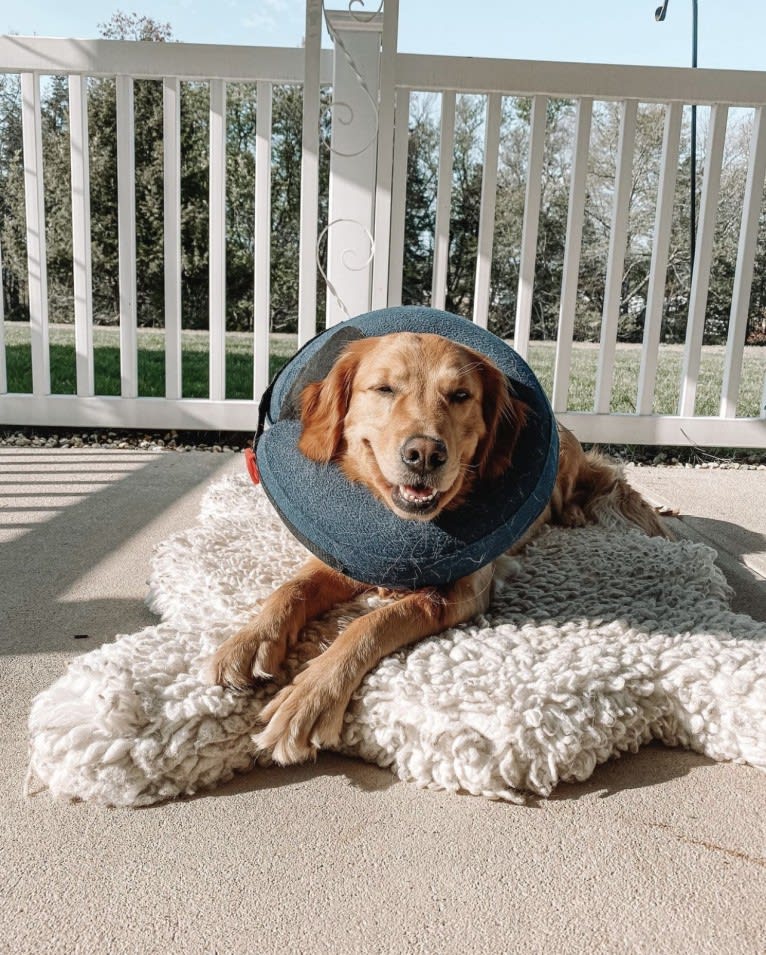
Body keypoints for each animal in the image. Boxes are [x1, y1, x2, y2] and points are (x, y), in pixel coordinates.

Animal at [210, 332, 664, 764]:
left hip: (568, 463)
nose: (424, 454)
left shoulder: (463, 593)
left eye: (460, 395)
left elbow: (371, 624)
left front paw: (309, 698)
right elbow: (293, 588)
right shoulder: (343, 558)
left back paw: (571, 513)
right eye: (384, 389)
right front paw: (251, 639)